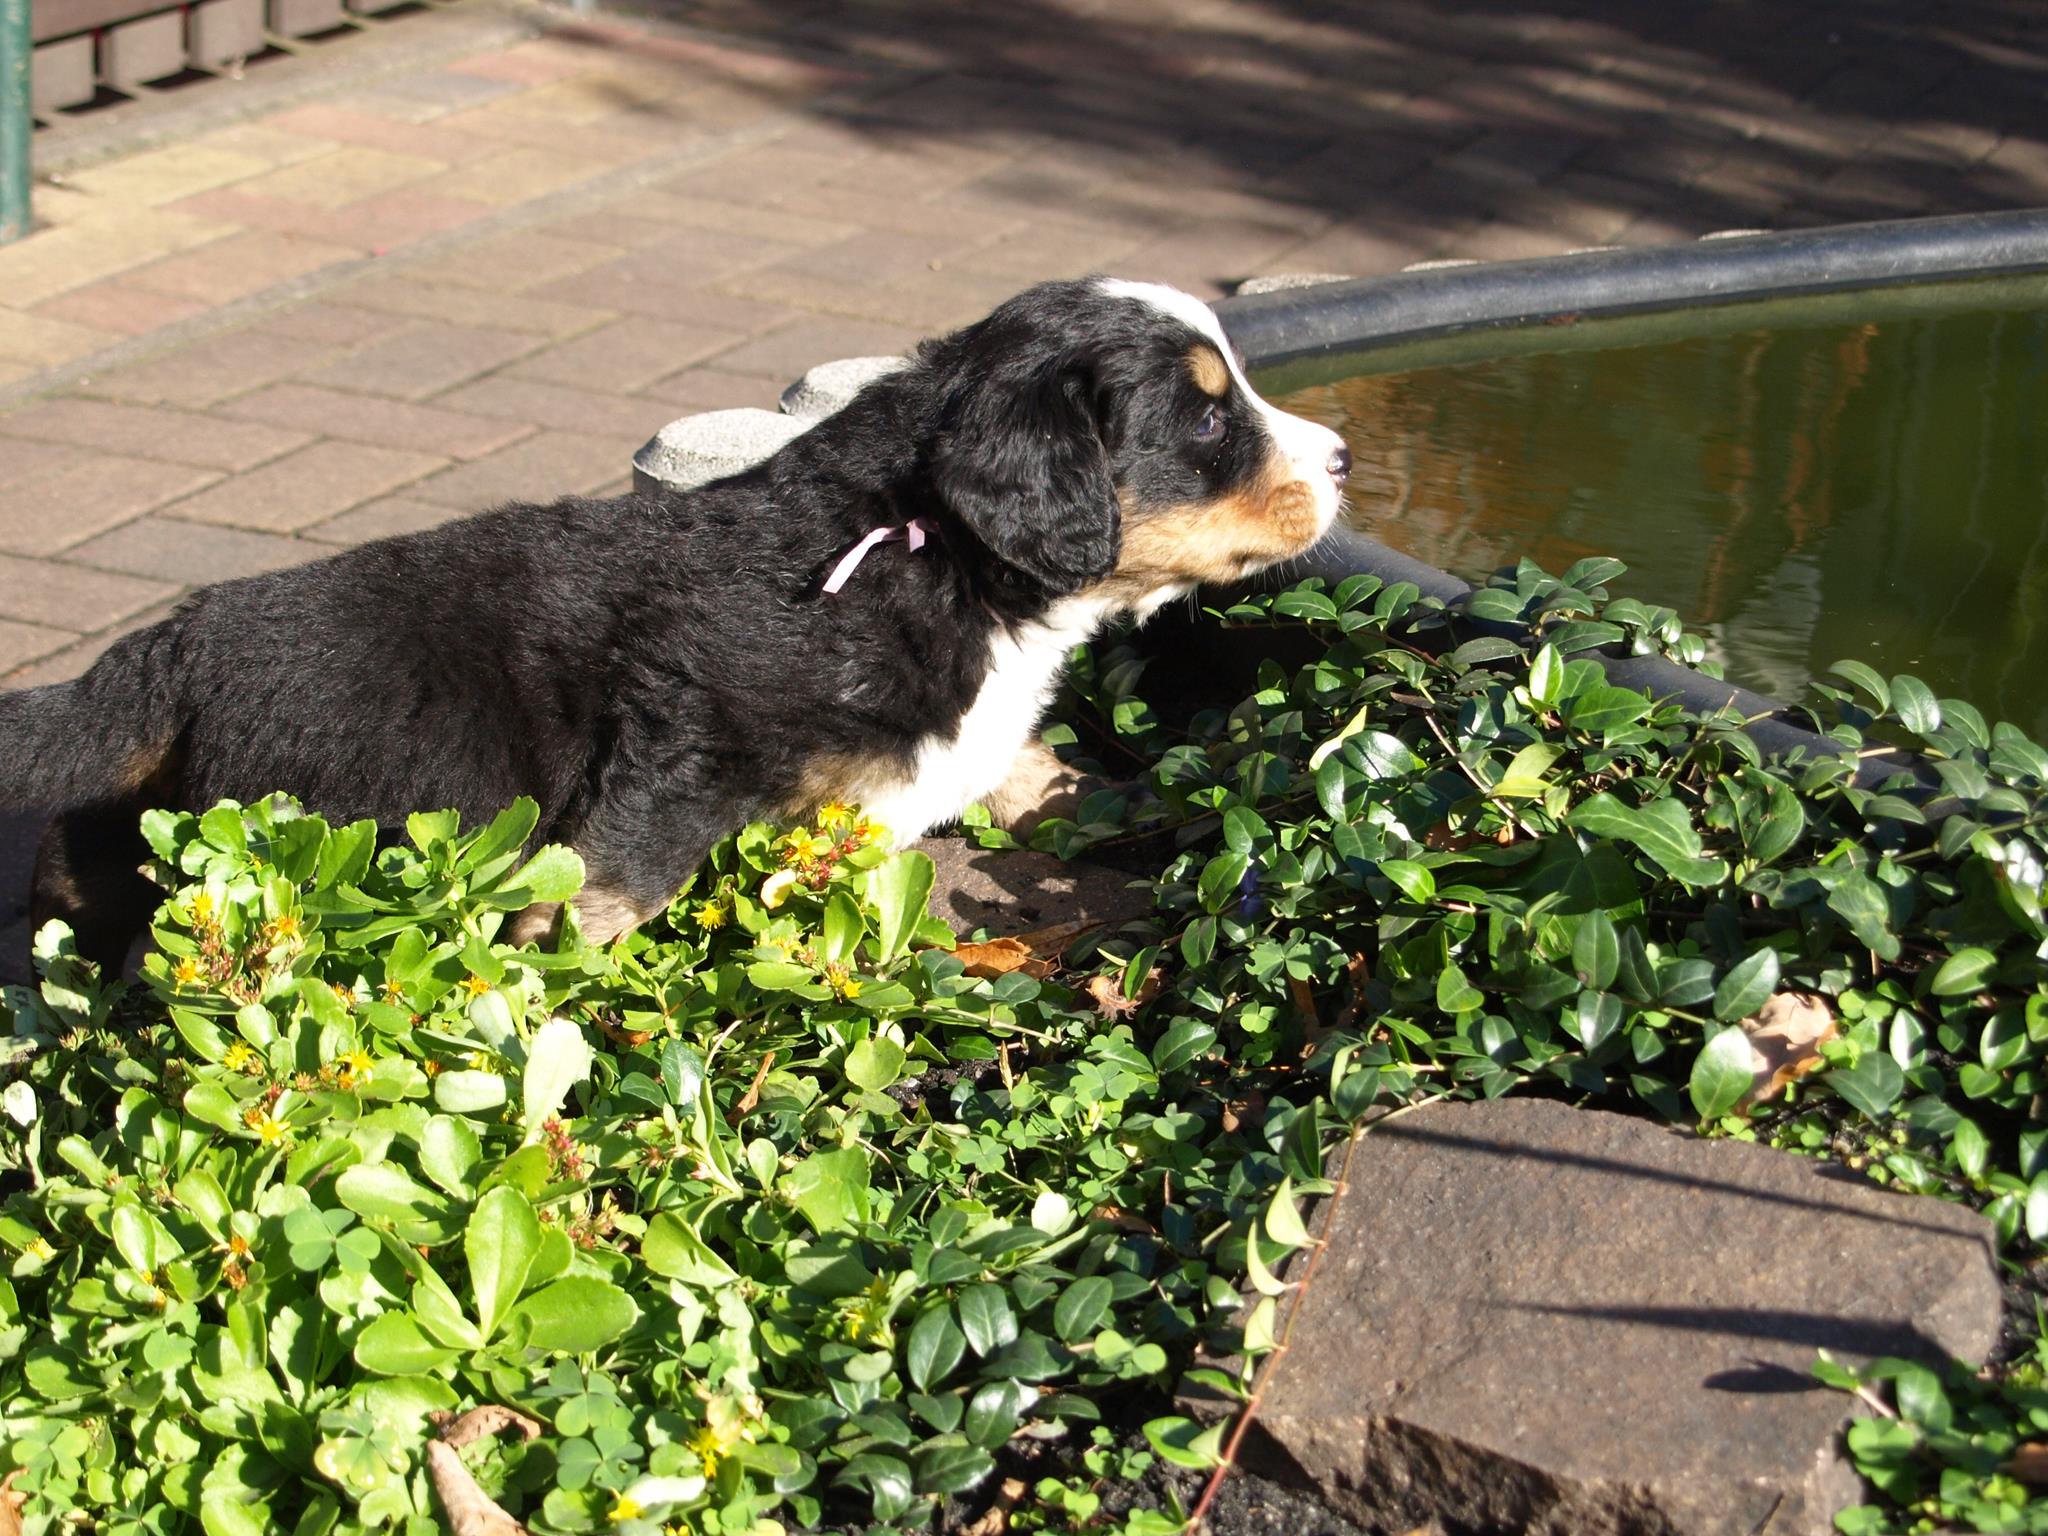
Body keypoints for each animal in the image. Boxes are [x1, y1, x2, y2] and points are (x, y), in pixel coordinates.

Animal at [1, 277, 1351, 969]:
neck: (943, 563)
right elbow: (616, 883)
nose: (1342, 458)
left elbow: (1013, 760)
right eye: (1205, 421)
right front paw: (546, 987)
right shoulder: (692, 726)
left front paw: (1112, 797)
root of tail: (177, 641)